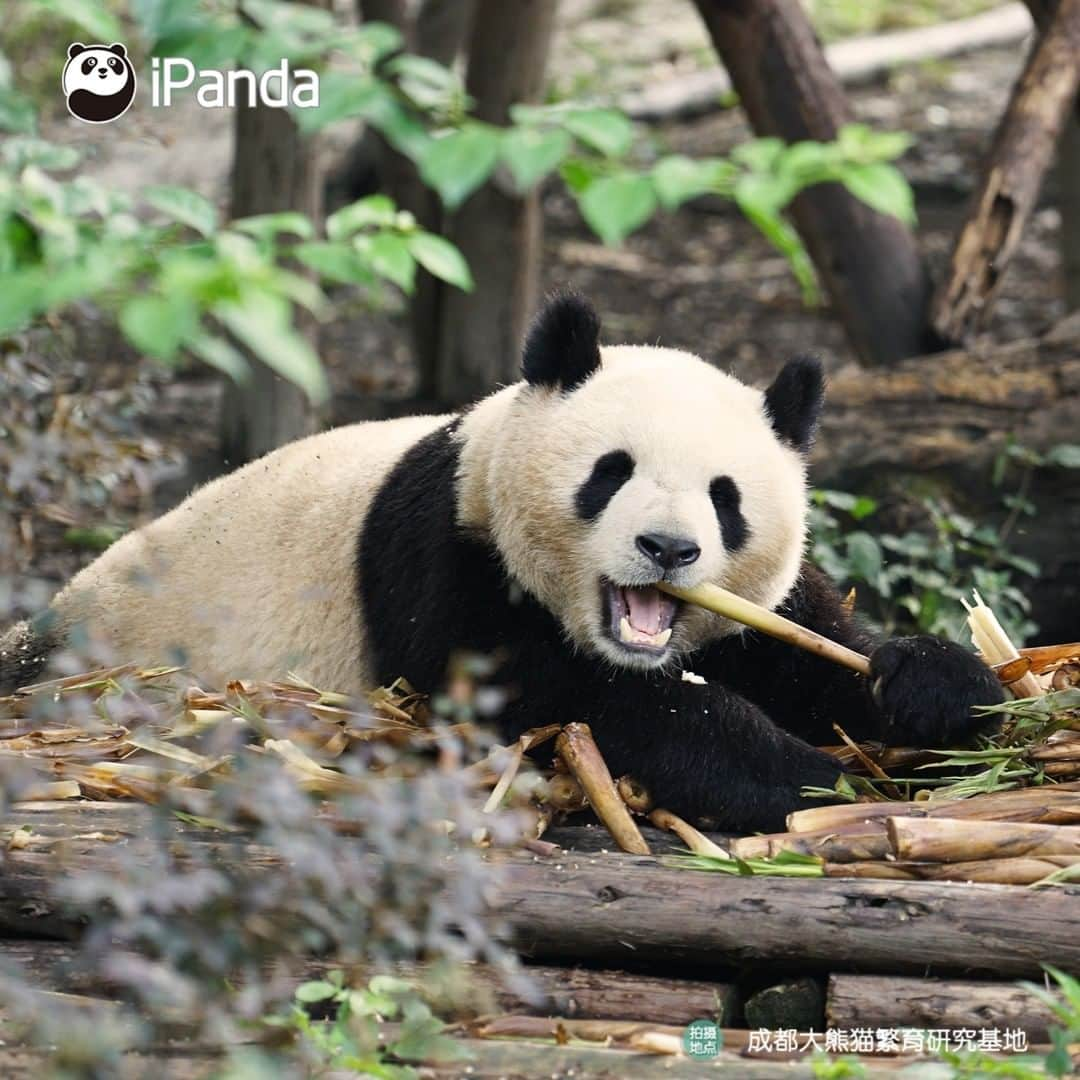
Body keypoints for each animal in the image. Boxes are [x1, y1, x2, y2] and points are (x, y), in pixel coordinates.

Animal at [0, 291, 1002, 829]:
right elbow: (574, 701)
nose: (668, 549)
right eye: (611, 472)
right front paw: (807, 775)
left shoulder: (759, 613)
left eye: (726, 498)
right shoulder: (450, 556)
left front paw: (941, 686)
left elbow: (819, 650)